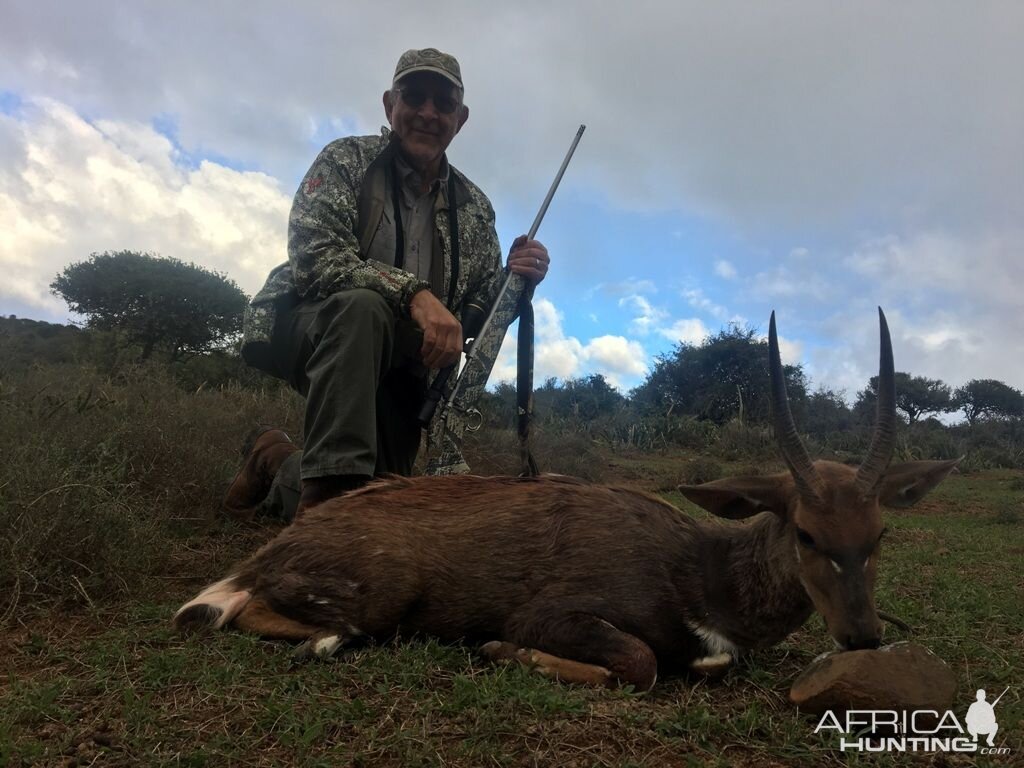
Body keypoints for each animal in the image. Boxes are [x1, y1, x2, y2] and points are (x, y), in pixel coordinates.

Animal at [174, 309, 958, 696]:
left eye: (879, 534)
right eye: (806, 532)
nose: (862, 635)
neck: (700, 570)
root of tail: (272, 550)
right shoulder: (556, 613)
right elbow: (640, 664)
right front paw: (499, 650)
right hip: (380, 595)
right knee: (216, 614)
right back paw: (319, 638)